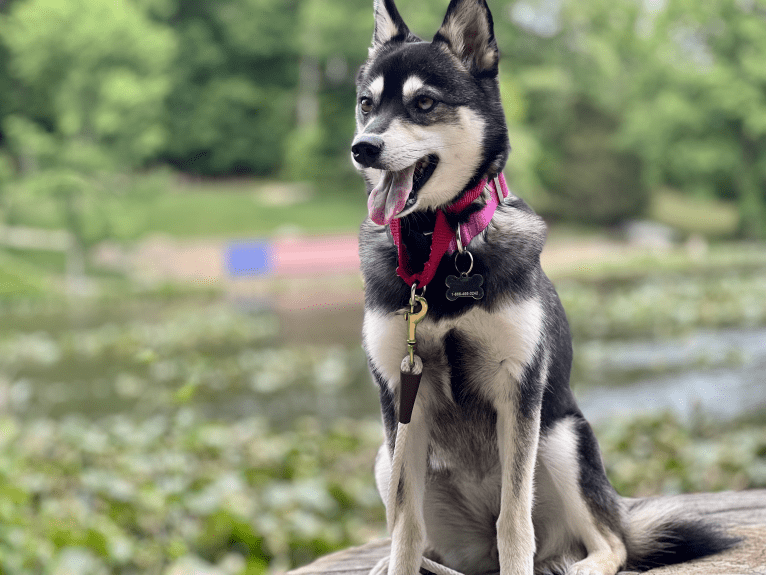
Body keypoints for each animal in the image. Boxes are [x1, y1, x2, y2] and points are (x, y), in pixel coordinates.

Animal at [352, 1, 736, 575]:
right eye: (366, 104)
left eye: (423, 103)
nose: (363, 148)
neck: (439, 250)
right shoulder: (401, 399)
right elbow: (404, 526)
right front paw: (396, 563)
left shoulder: (519, 390)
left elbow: (516, 522)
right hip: (388, 456)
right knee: (431, 545)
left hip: (559, 439)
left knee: (611, 543)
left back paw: (578, 565)